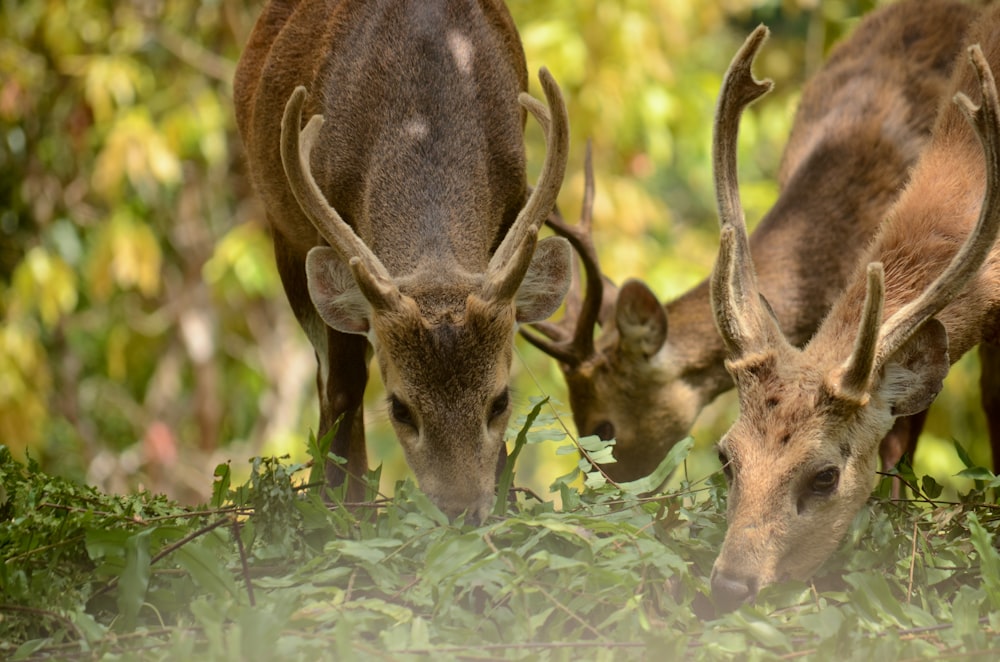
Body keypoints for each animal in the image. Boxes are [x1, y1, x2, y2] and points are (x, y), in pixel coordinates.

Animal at [232, 2, 572, 528]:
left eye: (500, 402)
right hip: (282, 235)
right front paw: (341, 512)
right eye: (400, 409)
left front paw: (509, 504)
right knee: (328, 380)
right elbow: (344, 388)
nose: (462, 512)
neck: (423, 114)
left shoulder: (515, 198)